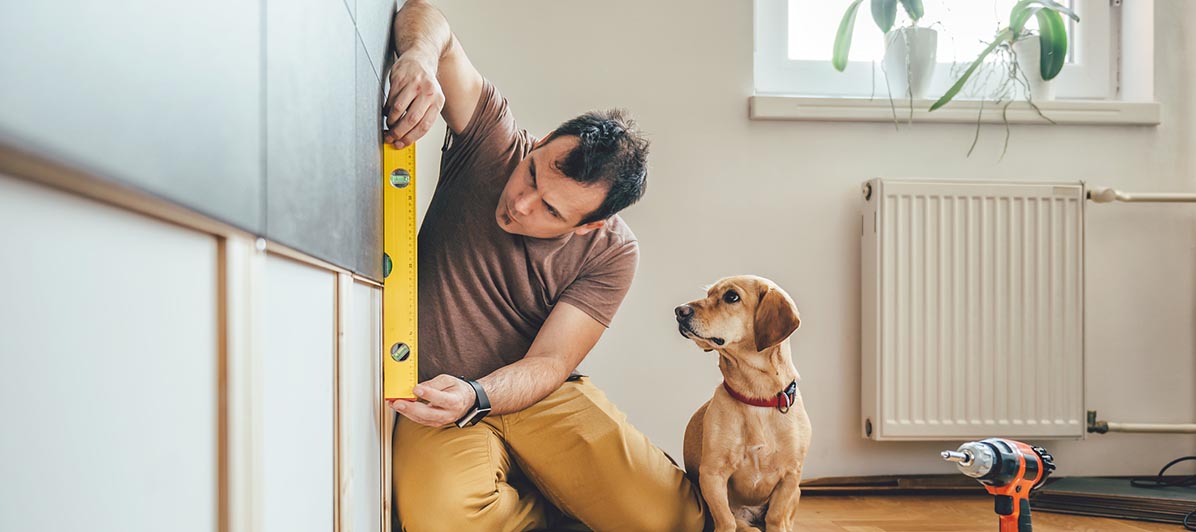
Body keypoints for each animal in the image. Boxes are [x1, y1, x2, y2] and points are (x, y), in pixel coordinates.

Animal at [679, 276, 808, 530]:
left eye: (731, 296)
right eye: (708, 294)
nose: (679, 311)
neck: (756, 397)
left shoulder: (791, 476)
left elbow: (776, 516)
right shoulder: (712, 474)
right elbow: (727, 520)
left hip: (796, 493)